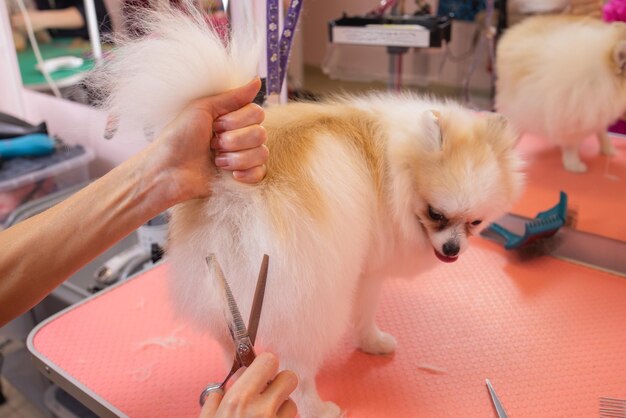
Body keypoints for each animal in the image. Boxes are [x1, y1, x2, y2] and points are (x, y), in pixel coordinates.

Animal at [92, 4, 520, 418]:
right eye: (436, 214)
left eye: (475, 222)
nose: (452, 250)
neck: (398, 162)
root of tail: (232, 190)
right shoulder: (368, 271)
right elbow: (365, 313)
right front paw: (374, 342)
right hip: (313, 302)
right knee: (297, 369)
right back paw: (320, 408)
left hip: (219, 289)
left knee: (229, 343)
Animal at [492, 14, 624, 171]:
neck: (602, 76)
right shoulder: (573, 120)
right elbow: (572, 147)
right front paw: (575, 166)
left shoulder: (597, 113)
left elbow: (602, 132)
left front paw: (608, 150)